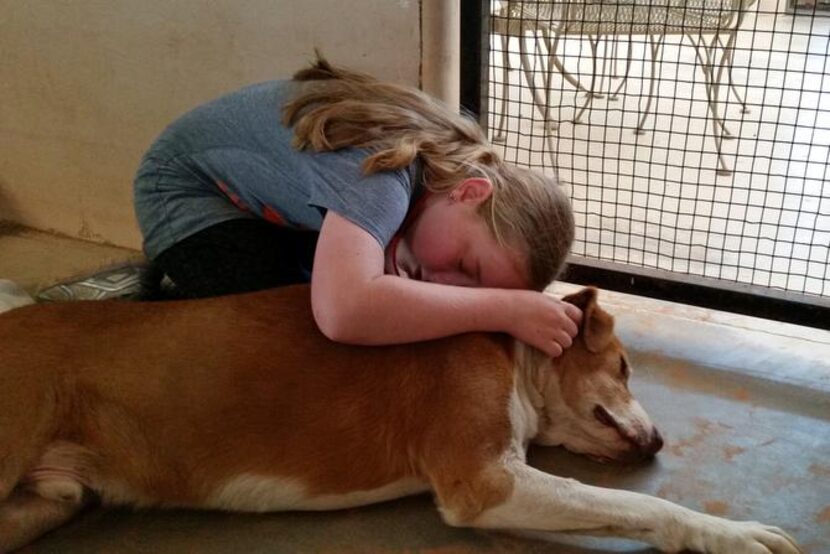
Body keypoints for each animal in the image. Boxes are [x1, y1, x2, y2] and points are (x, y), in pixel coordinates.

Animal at [0, 282, 808, 548]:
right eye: (626, 367)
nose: (662, 439)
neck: (508, 347)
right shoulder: (484, 482)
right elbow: (640, 507)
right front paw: (733, 534)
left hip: (51, 500)